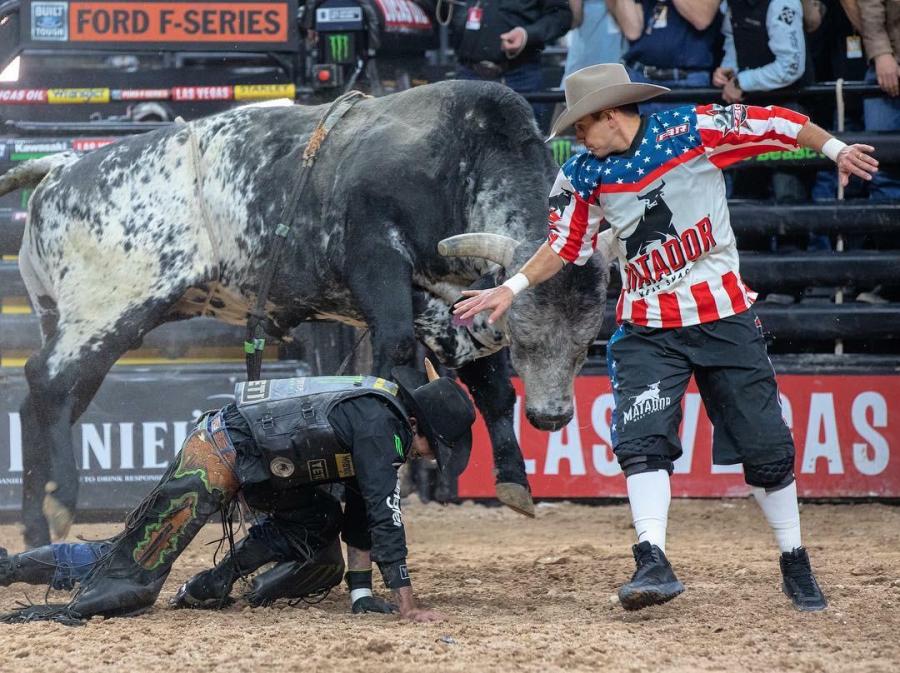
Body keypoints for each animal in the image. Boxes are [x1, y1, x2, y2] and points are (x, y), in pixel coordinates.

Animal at [1, 82, 612, 544]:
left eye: (587, 343)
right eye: (527, 338)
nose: (553, 418)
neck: (458, 162)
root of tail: (62, 167)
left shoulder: (449, 302)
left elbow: (488, 382)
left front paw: (512, 479)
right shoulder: (376, 260)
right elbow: (400, 354)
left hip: (72, 320)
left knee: (41, 400)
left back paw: (33, 522)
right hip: (106, 312)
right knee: (46, 381)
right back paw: (58, 503)